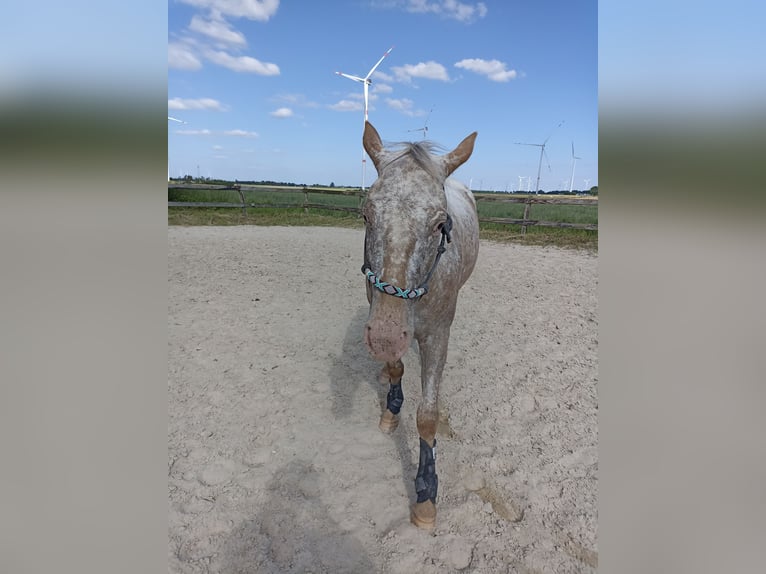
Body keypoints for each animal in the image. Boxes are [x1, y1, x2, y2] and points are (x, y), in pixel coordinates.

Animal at [360, 121, 480, 532]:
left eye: (441, 223)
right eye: (367, 215)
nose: (384, 337)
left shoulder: (436, 335)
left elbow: (428, 417)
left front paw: (426, 491)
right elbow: (397, 367)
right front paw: (390, 409)